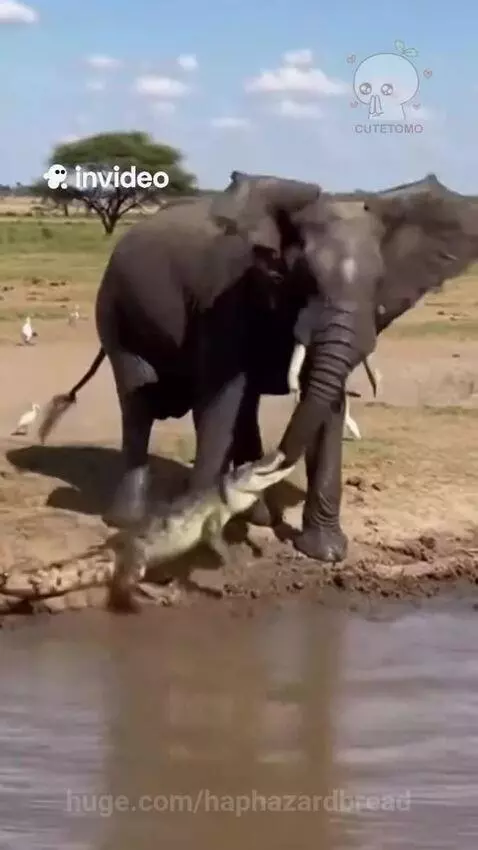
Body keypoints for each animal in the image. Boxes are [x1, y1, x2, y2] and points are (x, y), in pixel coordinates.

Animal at [39, 170, 478, 563]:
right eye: (306, 278)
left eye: (379, 282)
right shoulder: (225, 297)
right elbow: (221, 402)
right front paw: (193, 537)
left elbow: (326, 406)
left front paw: (325, 553)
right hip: (114, 308)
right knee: (139, 398)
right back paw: (127, 519)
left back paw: (257, 513)